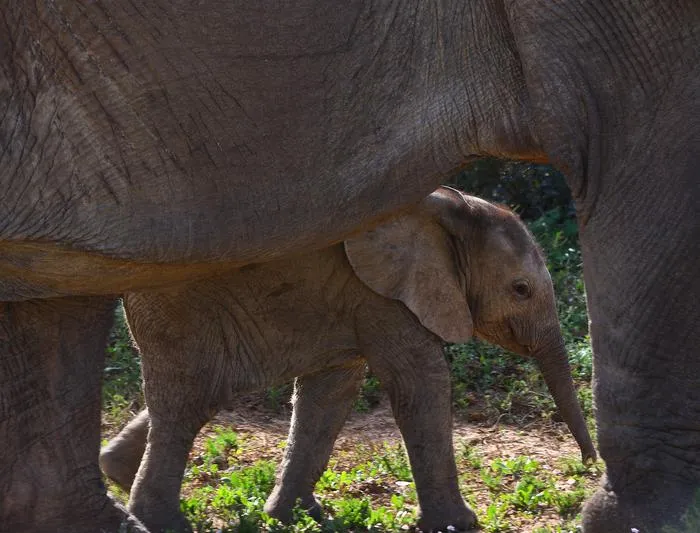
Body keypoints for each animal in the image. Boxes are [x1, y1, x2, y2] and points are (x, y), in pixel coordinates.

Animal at [99, 187, 596, 532]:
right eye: (521, 290)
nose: (591, 465)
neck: (449, 211)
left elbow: (331, 390)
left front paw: (297, 517)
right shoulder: (384, 293)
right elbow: (422, 380)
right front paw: (461, 524)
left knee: (209, 393)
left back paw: (116, 473)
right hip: (180, 304)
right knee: (191, 400)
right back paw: (159, 521)